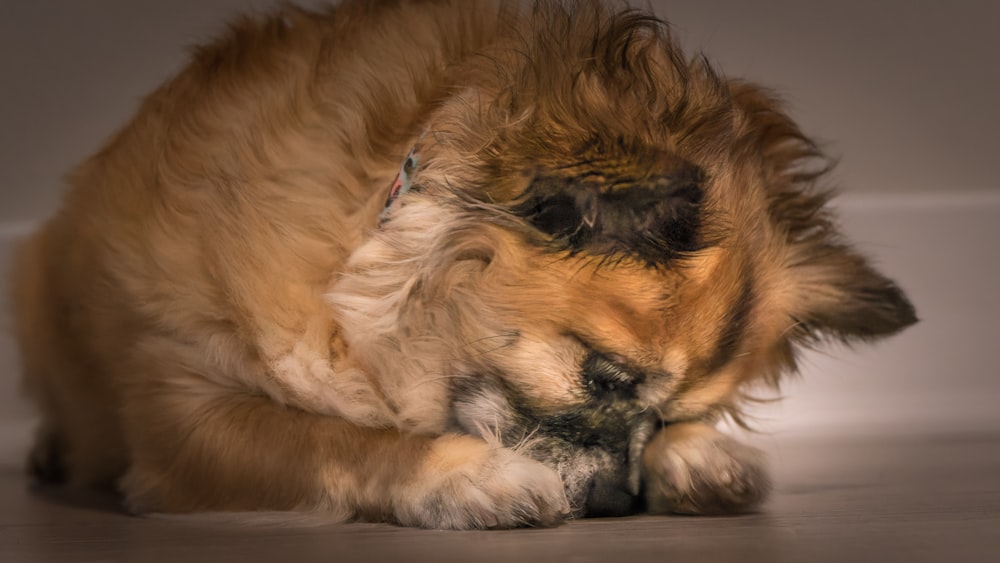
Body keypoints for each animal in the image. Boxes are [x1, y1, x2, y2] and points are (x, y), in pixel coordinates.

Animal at [7, 0, 916, 532]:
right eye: (604, 377)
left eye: (668, 411)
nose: (616, 505)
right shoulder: (183, 412)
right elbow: (329, 438)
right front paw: (469, 474)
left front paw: (697, 454)